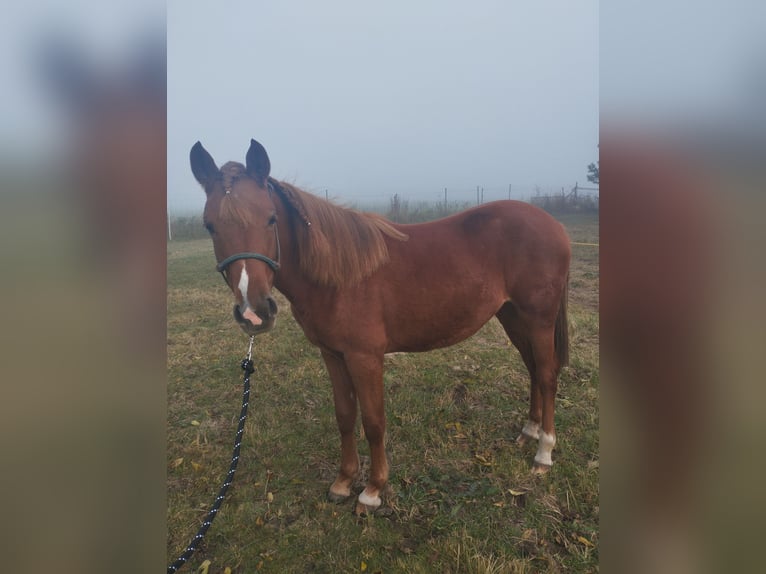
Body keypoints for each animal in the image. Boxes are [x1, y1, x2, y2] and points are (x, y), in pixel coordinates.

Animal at [190, 138, 568, 512]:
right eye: (209, 225)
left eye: (271, 219)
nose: (254, 311)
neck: (340, 276)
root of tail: (555, 225)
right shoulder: (332, 354)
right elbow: (345, 416)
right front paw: (343, 481)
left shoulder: (365, 357)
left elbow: (373, 422)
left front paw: (372, 490)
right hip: (512, 316)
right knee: (533, 369)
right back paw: (529, 431)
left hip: (538, 319)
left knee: (548, 375)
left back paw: (544, 453)